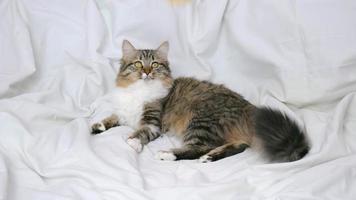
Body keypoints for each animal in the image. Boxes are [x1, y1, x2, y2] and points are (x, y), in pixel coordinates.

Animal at [91, 40, 308, 162]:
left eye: (155, 64)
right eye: (137, 64)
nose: (146, 72)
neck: (139, 90)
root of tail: (250, 108)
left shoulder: (153, 121)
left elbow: (142, 131)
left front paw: (133, 142)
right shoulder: (123, 111)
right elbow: (113, 117)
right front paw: (99, 126)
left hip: (201, 121)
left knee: (198, 148)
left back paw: (168, 154)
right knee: (238, 145)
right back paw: (210, 157)